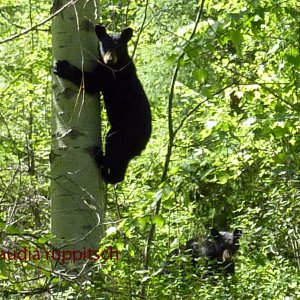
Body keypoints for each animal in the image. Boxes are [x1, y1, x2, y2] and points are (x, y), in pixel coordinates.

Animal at [54, 25, 151, 184]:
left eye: (118, 46)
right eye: (105, 45)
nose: (110, 59)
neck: (116, 64)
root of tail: (143, 144)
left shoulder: (111, 76)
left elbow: (91, 82)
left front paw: (62, 67)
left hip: (124, 135)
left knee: (114, 150)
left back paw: (100, 158)